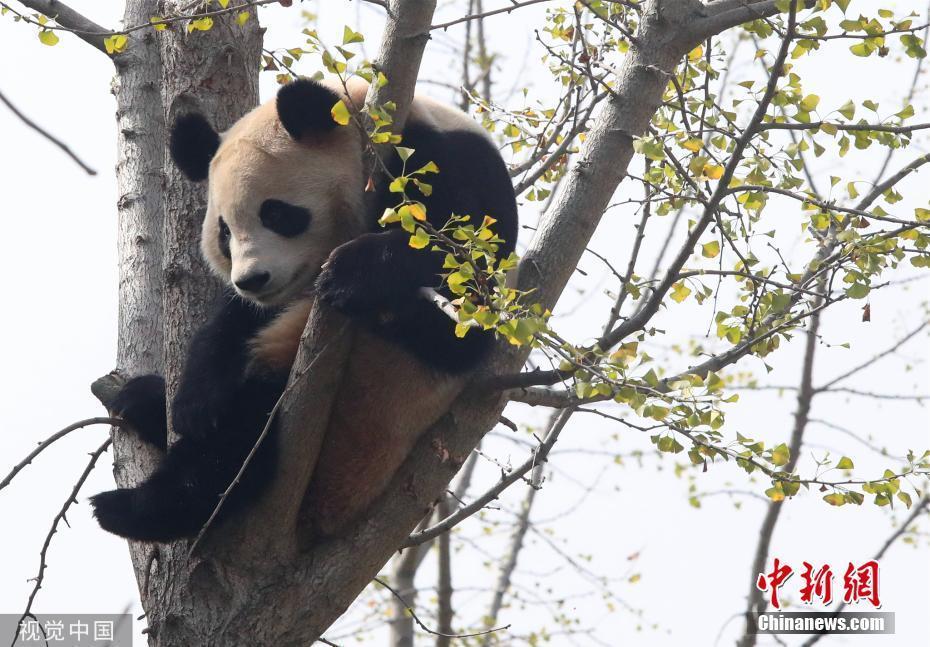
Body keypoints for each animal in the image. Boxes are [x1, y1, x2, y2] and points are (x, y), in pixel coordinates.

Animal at [90, 77, 520, 540]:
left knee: (241, 442)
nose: (251, 280)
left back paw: (136, 507)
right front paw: (194, 401)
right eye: (224, 232)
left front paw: (351, 275)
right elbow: (229, 325)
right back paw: (143, 400)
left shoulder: (445, 168)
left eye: (276, 213)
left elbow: (461, 286)